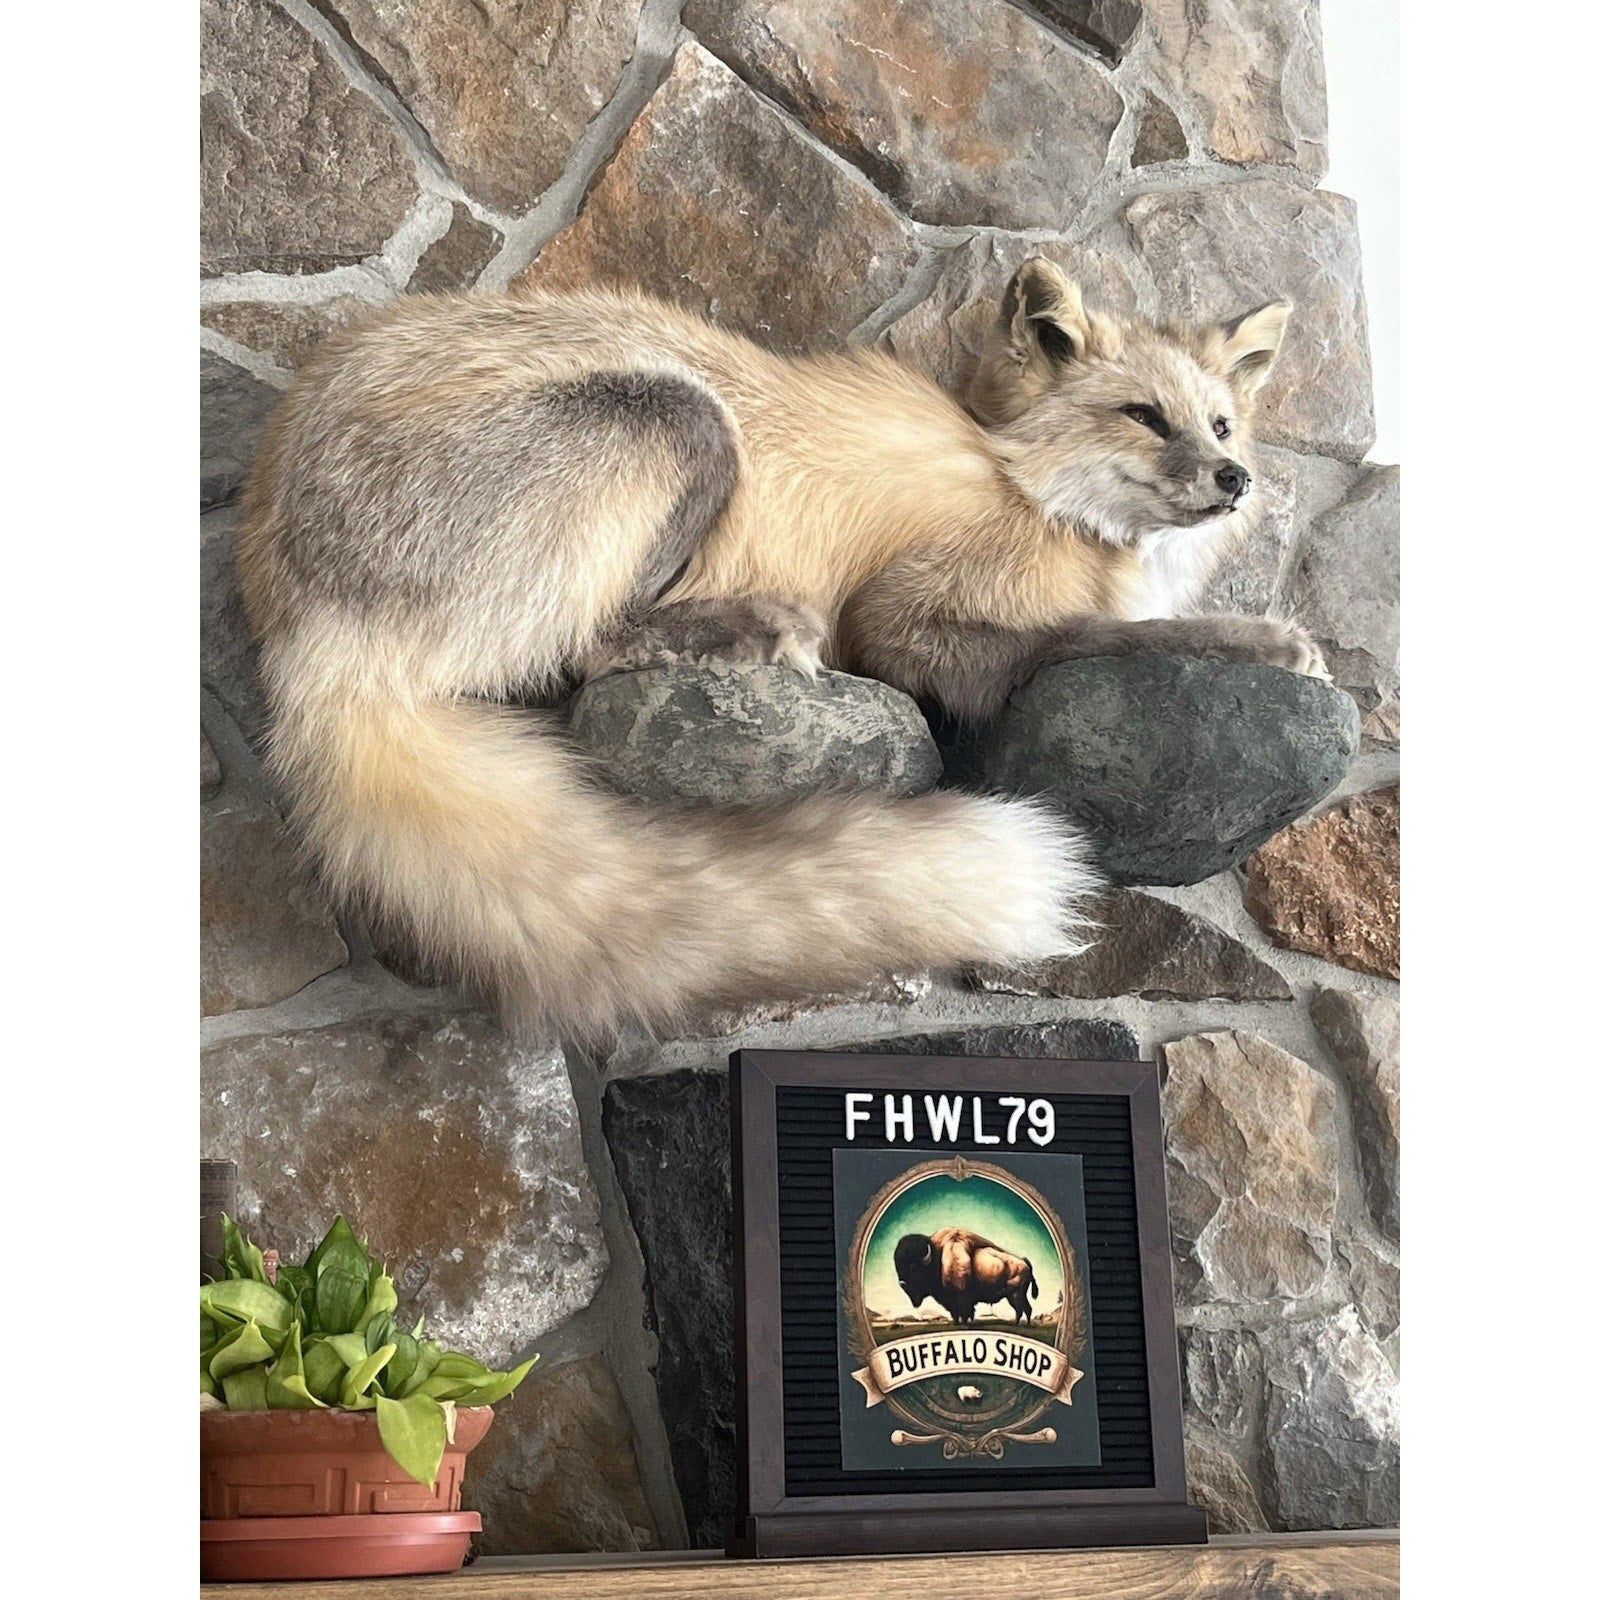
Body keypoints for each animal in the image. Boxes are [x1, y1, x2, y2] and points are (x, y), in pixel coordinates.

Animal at [236, 258, 1324, 1039]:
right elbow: (1093, 636)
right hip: (672, 418)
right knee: (587, 652)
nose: (1232, 479)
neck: (1022, 484)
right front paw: (1264, 642)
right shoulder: (902, 616)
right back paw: (745, 629)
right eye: (1143, 416)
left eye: (1220, 424)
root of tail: (298, 626)